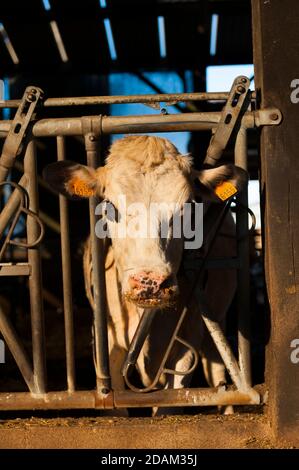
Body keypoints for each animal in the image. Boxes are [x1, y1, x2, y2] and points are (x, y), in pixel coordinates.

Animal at [44, 135, 246, 414]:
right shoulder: (107, 343)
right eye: (109, 207)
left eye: (188, 208)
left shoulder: (188, 338)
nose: (150, 282)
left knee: (217, 370)